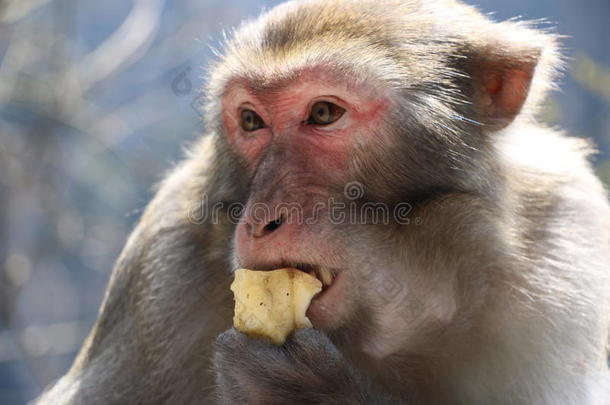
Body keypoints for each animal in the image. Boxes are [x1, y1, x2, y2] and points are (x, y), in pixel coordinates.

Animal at [34, 0, 608, 402]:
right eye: (250, 120)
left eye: (325, 113)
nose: (260, 219)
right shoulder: (162, 267)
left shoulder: (565, 241)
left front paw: (307, 394)